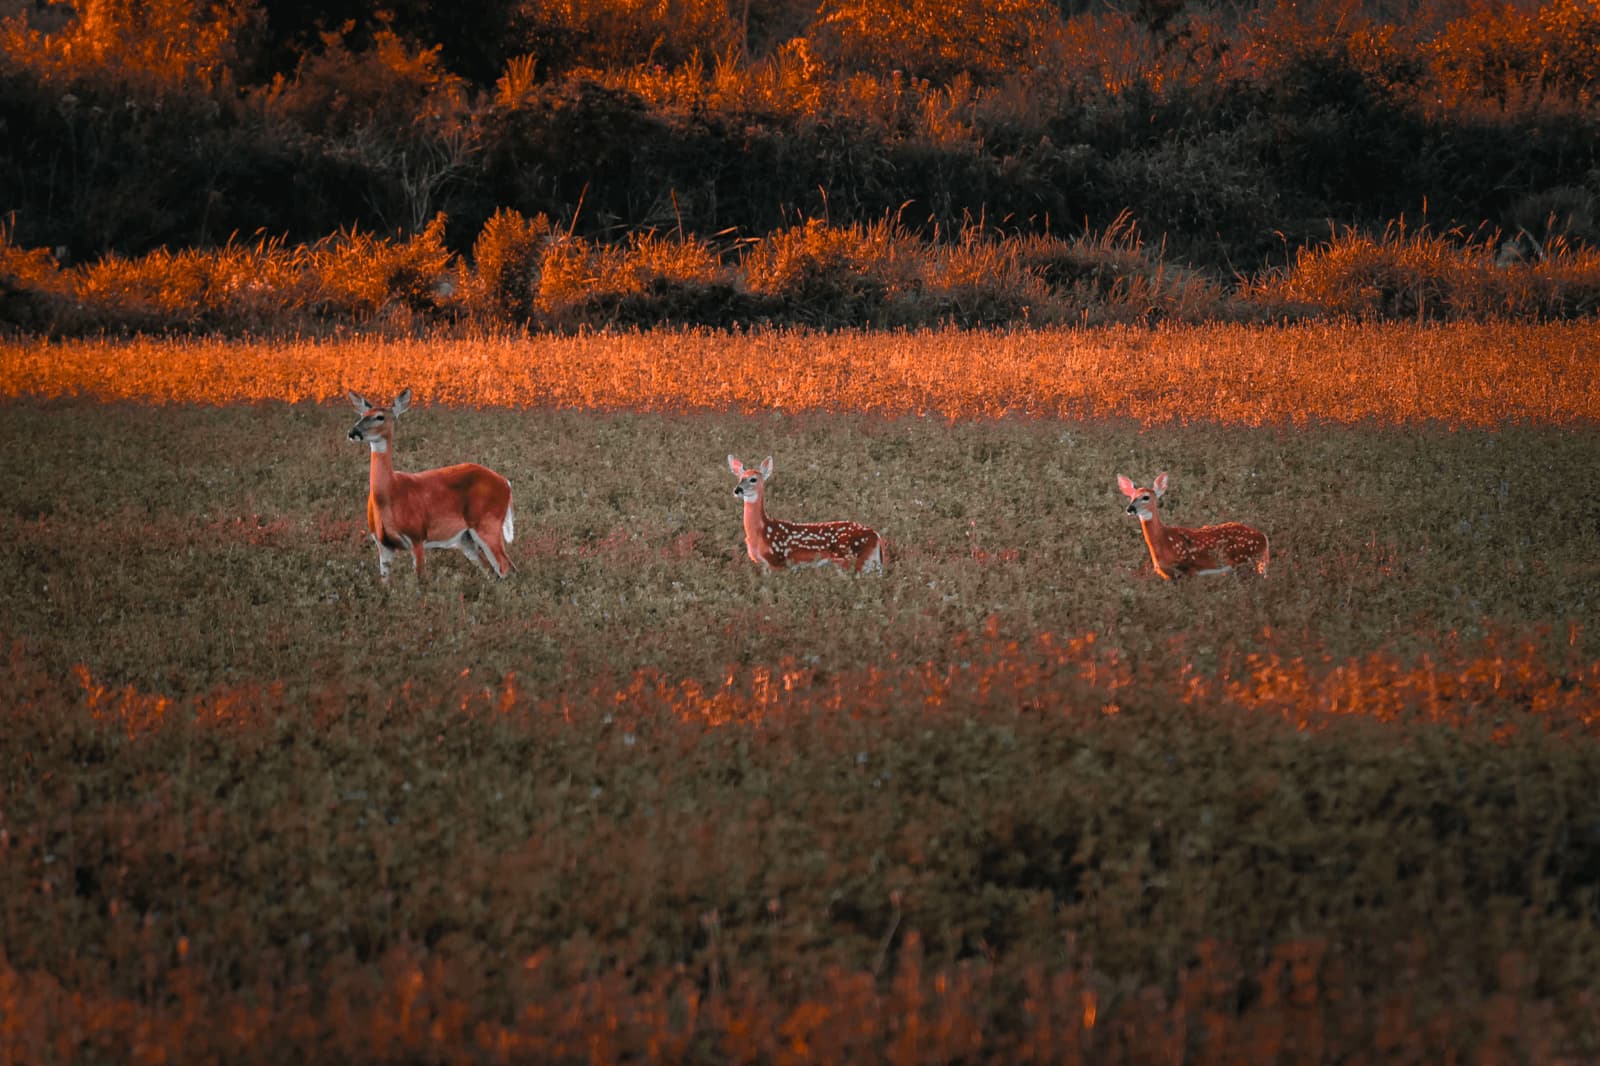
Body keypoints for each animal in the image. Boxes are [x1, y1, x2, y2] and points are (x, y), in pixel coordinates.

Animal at [347, 389, 515, 581]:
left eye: (379, 417)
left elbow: (420, 580)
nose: (353, 432)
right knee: (492, 568)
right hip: (466, 539)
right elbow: (385, 582)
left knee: (505, 565)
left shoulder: (417, 536)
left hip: (488, 523)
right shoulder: (382, 544)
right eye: (362, 415)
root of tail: (506, 483)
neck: (390, 494)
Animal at [728, 455, 884, 575]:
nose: (737, 490)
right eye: (740, 478)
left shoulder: (777, 561)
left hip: (855, 560)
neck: (761, 531)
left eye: (753, 479)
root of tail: (877, 536)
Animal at [1117, 472, 1269, 579]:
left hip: (1245, 561)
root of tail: (1264, 538)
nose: (1130, 509)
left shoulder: (1188, 570)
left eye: (1146, 497)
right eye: (1131, 497)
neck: (1165, 541)